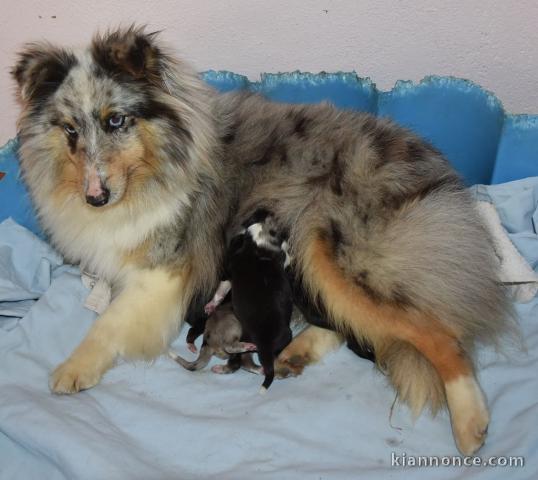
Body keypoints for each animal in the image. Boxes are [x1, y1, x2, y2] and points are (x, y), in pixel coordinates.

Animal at [13, 26, 516, 454]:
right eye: (69, 129)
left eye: (116, 120)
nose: (95, 197)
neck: (150, 174)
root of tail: (441, 175)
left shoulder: (163, 273)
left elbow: (107, 324)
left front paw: (72, 370)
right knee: (347, 324)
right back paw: (294, 353)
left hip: (334, 249)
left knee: (440, 335)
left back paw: (471, 424)